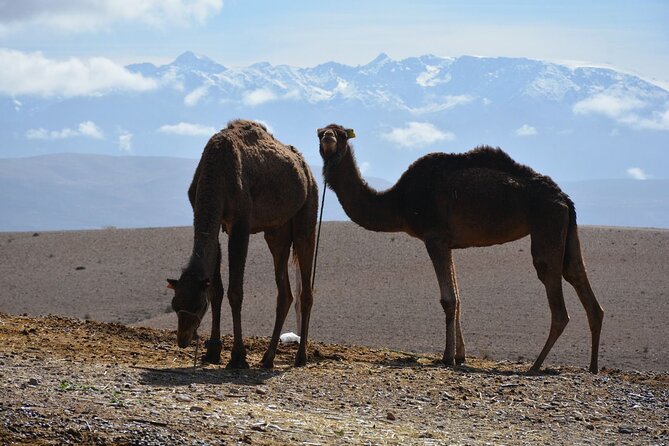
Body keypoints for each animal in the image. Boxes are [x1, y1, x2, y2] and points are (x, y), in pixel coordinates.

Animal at [167, 119, 318, 369]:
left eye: (198, 306)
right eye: (175, 304)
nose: (183, 339)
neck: (216, 171)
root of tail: (305, 166)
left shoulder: (241, 223)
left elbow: (235, 291)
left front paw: (238, 356)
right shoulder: (219, 222)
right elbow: (216, 290)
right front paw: (213, 352)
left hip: (307, 212)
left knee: (305, 288)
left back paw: (301, 357)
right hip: (277, 232)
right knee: (284, 292)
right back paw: (268, 358)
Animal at [317, 124, 604, 373]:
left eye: (342, 134)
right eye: (320, 132)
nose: (328, 138)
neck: (399, 202)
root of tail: (564, 197)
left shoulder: (434, 238)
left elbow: (448, 299)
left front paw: (447, 357)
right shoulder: (448, 243)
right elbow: (457, 296)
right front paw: (460, 354)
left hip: (547, 224)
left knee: (556, 297)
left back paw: (535, 365)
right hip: (566, 230)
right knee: (578, 277)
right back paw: (592, 366)